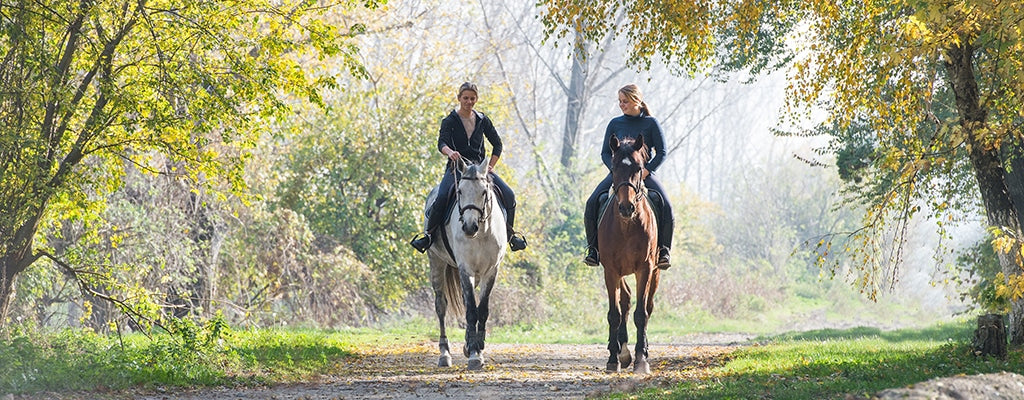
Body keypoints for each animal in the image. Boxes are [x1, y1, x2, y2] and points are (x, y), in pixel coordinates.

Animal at [421, 158, 505, 370]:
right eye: (459, 191)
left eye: (484, 192)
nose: (469, 227)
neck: (482, 233)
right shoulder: (465, 268)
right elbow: (471, 311)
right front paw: (474, 354)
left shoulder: (491, 271)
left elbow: (481, 309)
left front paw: (477, 348)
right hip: (436, 262)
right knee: (441, 306)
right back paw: (444, 354)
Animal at [598, 135, 659, 376]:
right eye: (614, 167)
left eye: (639, 168)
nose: (626, 207)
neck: (626, 226)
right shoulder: (611, 270)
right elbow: (614, 314)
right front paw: (613, 359)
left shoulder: (645, 268)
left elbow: (641, 314)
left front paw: (641, 360)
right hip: (620, 272)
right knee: (624, 301)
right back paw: (621, 351)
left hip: (656, 272)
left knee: (648, 306)